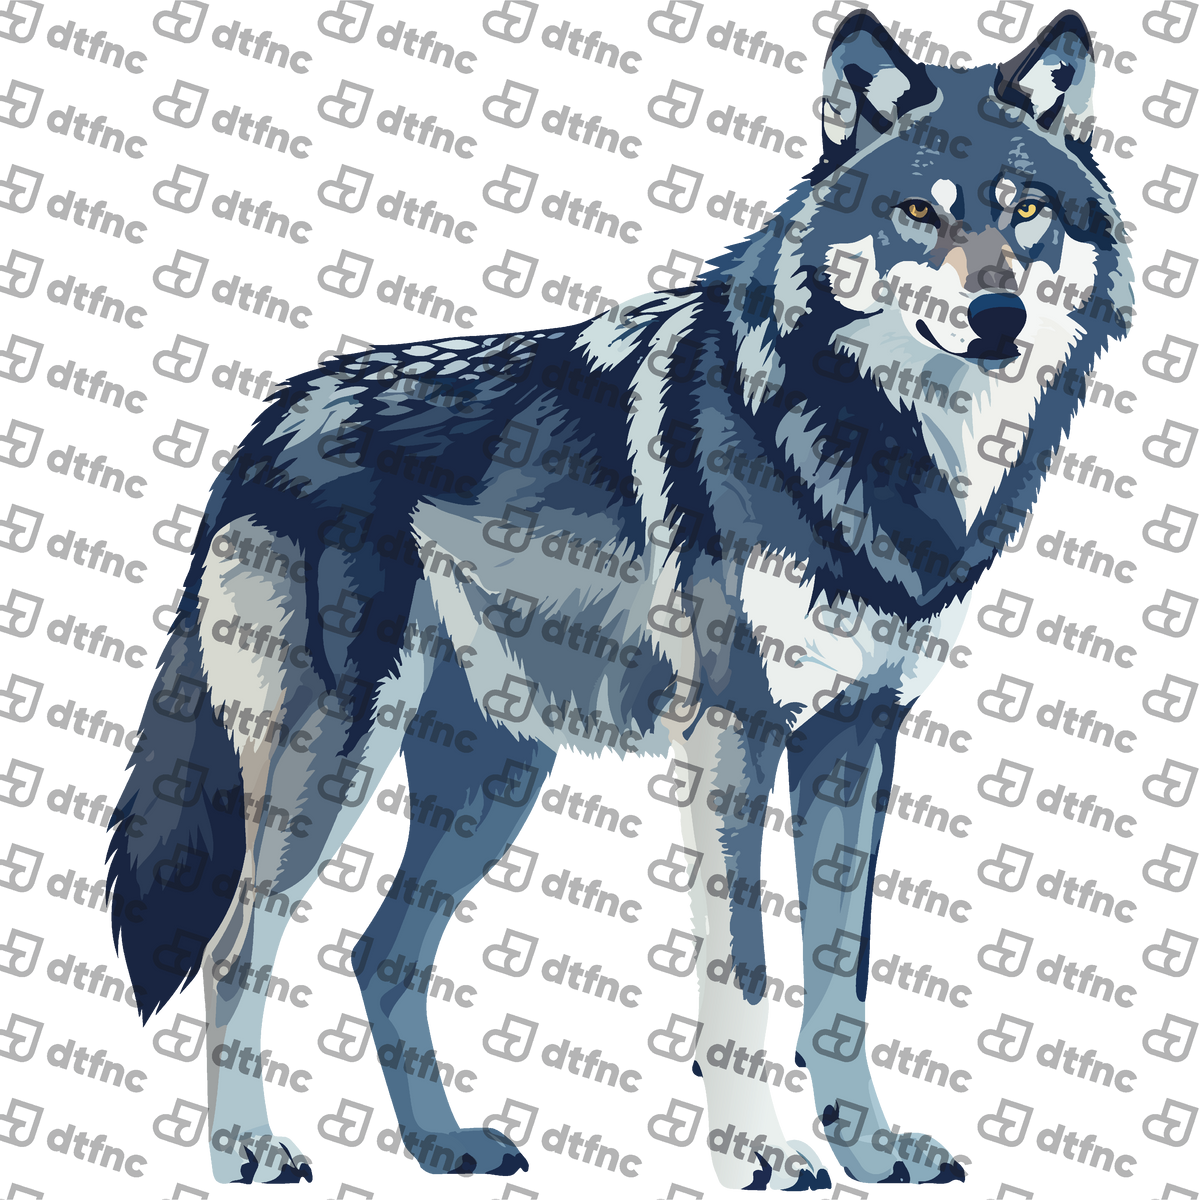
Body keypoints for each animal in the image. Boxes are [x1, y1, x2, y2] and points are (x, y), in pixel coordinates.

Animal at [103, 7, 1134, 1191]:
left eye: (1026, 211)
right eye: (920, 213)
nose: (998, 315)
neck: (871, 437)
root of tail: (270, 418)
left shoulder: (861, 736)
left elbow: (839, 981)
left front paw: (872, 1154)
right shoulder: (730, 732)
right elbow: (745, 971)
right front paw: (757, 1154)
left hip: (494, 784)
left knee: (380, 954)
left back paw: (444, 1145)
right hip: (335, 759)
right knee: (234, 949)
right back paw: (244, 1152)